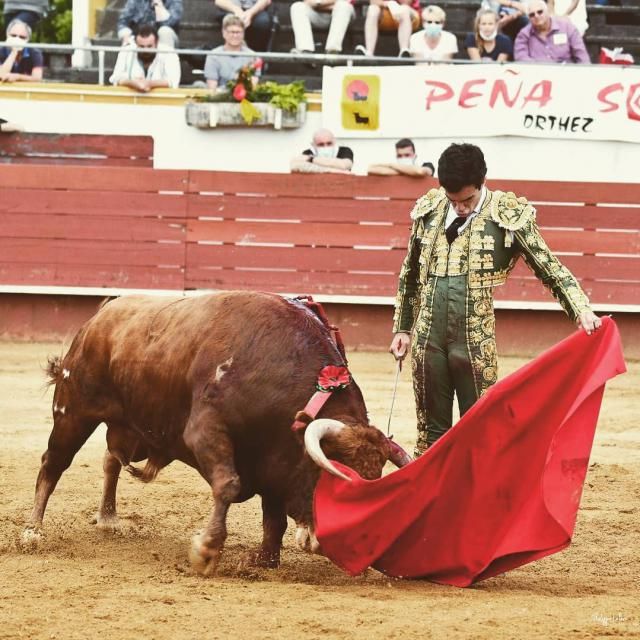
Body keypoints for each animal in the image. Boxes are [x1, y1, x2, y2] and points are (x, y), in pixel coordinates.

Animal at [23, 292, 410, 572]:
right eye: (329, 477)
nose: (323, 544)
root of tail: (103, 313)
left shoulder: (276, 461)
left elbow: (274, 519)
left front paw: (263, 560)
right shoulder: (205, 433)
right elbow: (229, 484)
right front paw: (206, 550)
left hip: (132, 428)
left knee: (111, 459)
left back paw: (107, 518)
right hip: (73, 412)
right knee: (52, 464)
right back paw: (32, 532)